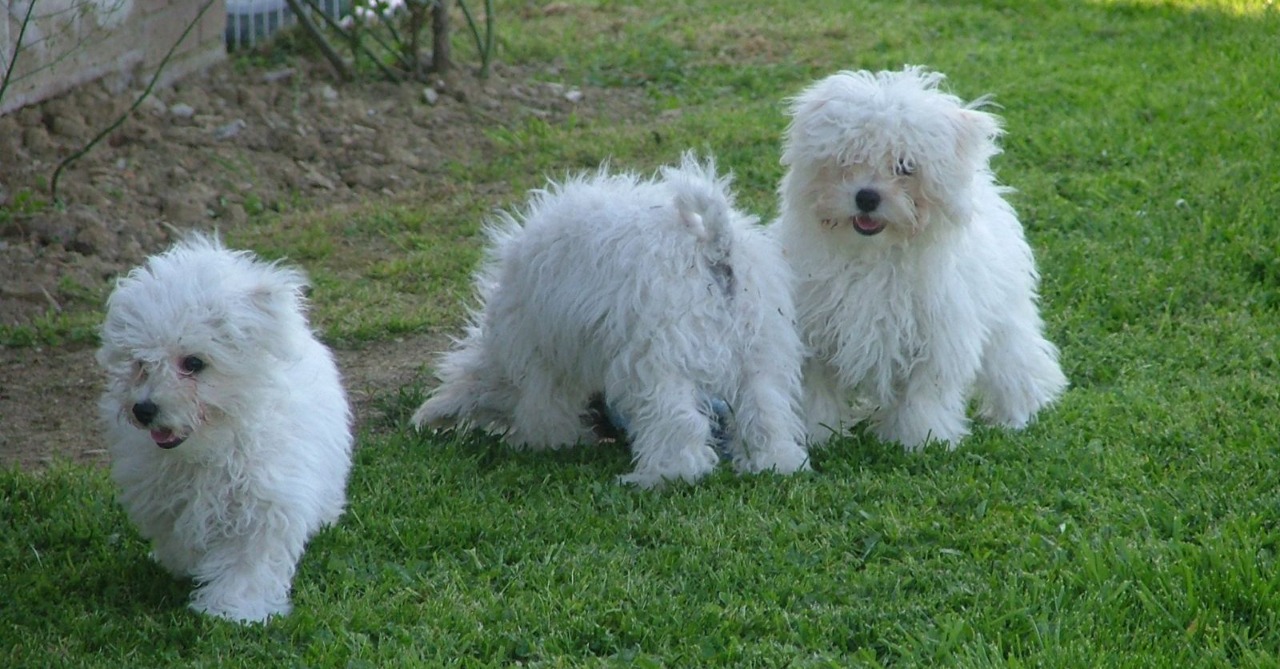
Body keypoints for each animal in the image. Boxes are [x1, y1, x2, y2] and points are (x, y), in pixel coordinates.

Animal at [96, 233, 353, 623]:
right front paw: (187, 567)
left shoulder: (265, 501)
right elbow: (179, 537)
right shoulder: (165, 499)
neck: (212, 446)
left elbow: (248, 560)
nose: (144, 409)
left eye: (193, 363)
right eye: (141, 362)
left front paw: (233, 609)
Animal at [412, 153, 809, 488]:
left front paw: (546, 441)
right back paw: (775, 464)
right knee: (767, 417)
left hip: (659, 362)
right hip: (762, 354)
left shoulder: (543, 364)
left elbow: (544, 410)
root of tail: (714, 243)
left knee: (679, 427)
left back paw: (658, 478)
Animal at [771, 66, 1067, 449]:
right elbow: (816, 392)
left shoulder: (935, 338)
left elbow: (923, 396)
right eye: (847, 159)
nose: (866, 197)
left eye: (905, 167)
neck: (873, 256)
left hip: (1005, 317)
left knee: (1014, 361)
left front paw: (921, 441)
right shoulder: (814, 336)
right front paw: (816, 435)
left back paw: (1020, 411)